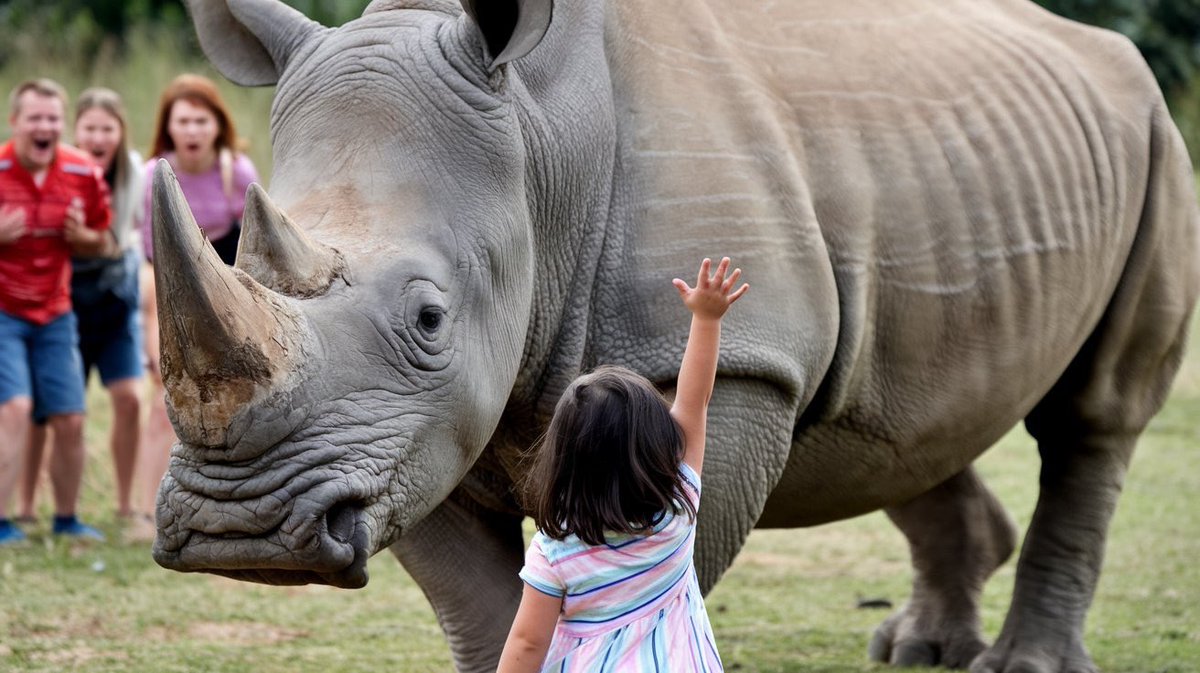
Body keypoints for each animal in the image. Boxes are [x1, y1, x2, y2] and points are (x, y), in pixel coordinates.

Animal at [151, 0, 1200, 671]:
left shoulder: (726, 367)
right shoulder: (407, 434)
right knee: (910, 415)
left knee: (1094, 414)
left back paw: (1022, 663)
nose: (239, 533)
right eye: (234, 257)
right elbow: (483, 605)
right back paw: (921, 651)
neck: (539, 140)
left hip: (1155, 132)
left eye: (428, 317)